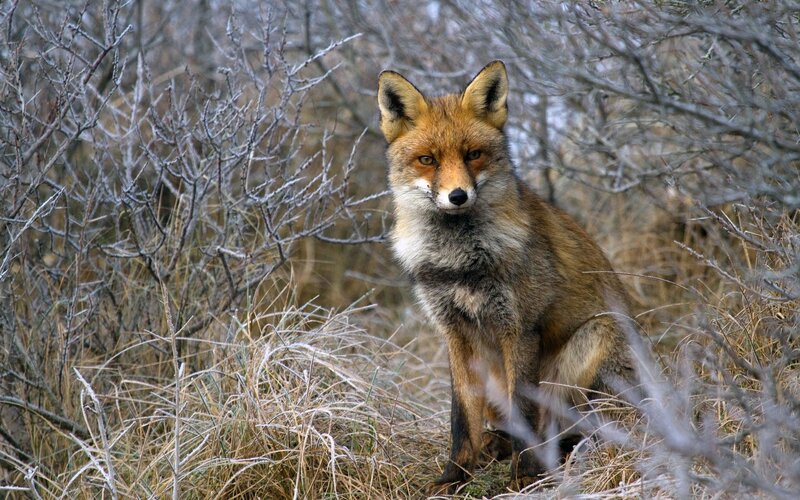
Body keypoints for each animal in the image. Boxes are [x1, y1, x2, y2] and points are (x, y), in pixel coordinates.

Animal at [377, 61, 639, 494]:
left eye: (474, 155)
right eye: (427, 159)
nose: (458, 196)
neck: (460, 263)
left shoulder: (519, 327)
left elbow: (524, 407)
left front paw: (525, 475)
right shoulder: (454, 333)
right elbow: (460, 417)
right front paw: (455, 476)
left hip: (595, 340)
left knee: (574, 427)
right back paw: (495, 447)